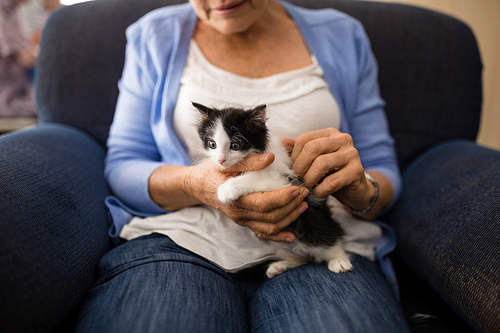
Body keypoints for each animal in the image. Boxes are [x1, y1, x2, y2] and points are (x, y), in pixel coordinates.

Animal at [191, 102, 352, 278]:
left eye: (235, 145)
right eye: (212, 144)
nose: (221, 160)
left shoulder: (290, 182)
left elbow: (259, 177)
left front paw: (228, 188)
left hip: (316, 227)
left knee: (328, 240)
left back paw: (339, 261)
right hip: (278, 243)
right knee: (302, 258)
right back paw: (281, 266)